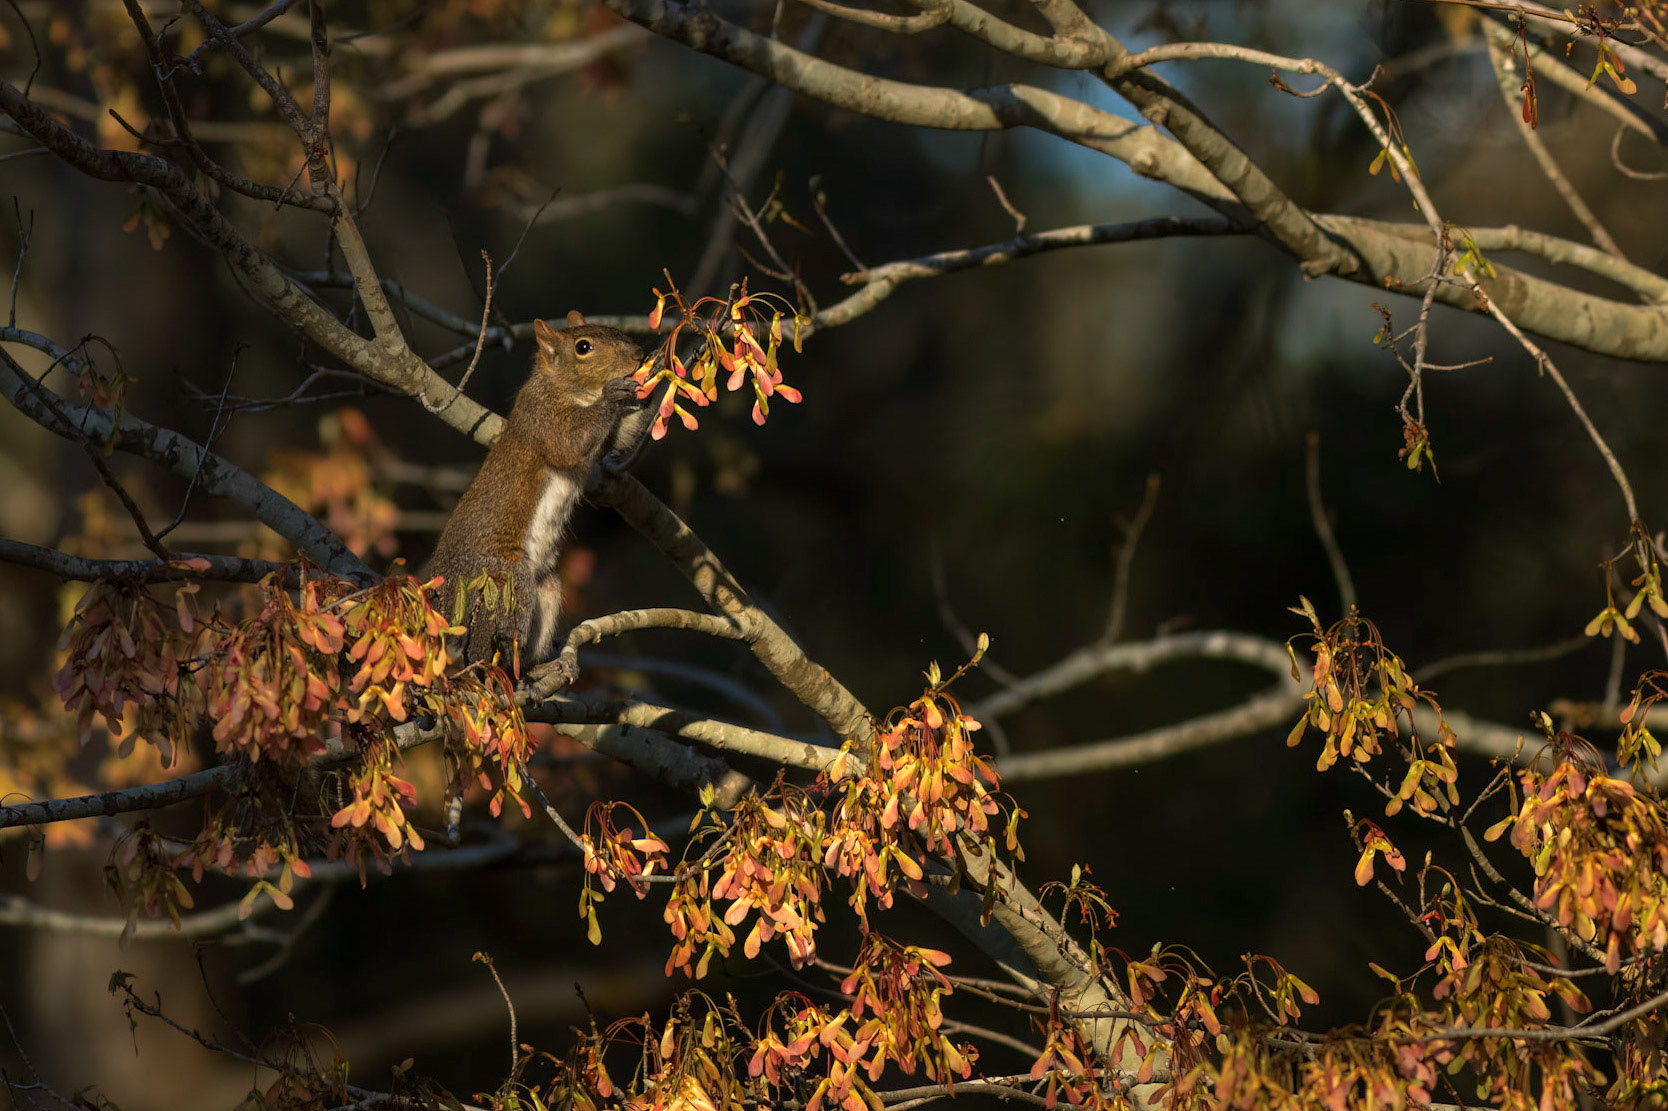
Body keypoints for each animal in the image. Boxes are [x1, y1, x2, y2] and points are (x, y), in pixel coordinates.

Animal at [427, 311, 651, 670]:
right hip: (505, 581)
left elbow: (619, 440)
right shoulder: (542, 417)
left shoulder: (605, 445)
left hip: (547, 586)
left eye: (617, 331)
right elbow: (569, 442)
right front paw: (614, 395)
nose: (638, 356)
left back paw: (539, 667)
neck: (572, 391)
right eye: (583, 347)